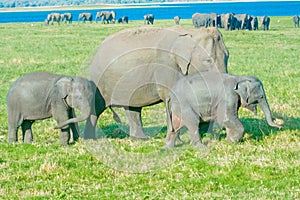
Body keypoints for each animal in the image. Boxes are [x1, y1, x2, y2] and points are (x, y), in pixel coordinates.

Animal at [84, 25, 230, 140]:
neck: (190, 32)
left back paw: (140, 139)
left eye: (227, 55)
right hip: (100, 79)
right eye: (208, 60)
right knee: (97, 106)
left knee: (132, 107)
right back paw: (90, 139)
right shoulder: (166, 66)